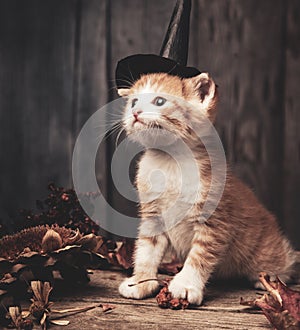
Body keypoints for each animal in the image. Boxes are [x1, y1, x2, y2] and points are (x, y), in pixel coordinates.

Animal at [117, 71, 296, 304]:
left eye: (159, 101)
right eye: (133, 102)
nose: (135, 112)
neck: (169, 161)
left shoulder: (215, 221)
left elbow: (200, 256)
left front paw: (185, 285)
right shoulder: (152, 214)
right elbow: (147, 249)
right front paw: (140, 281)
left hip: (268, 251)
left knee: (287, 258)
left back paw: (272, 277)